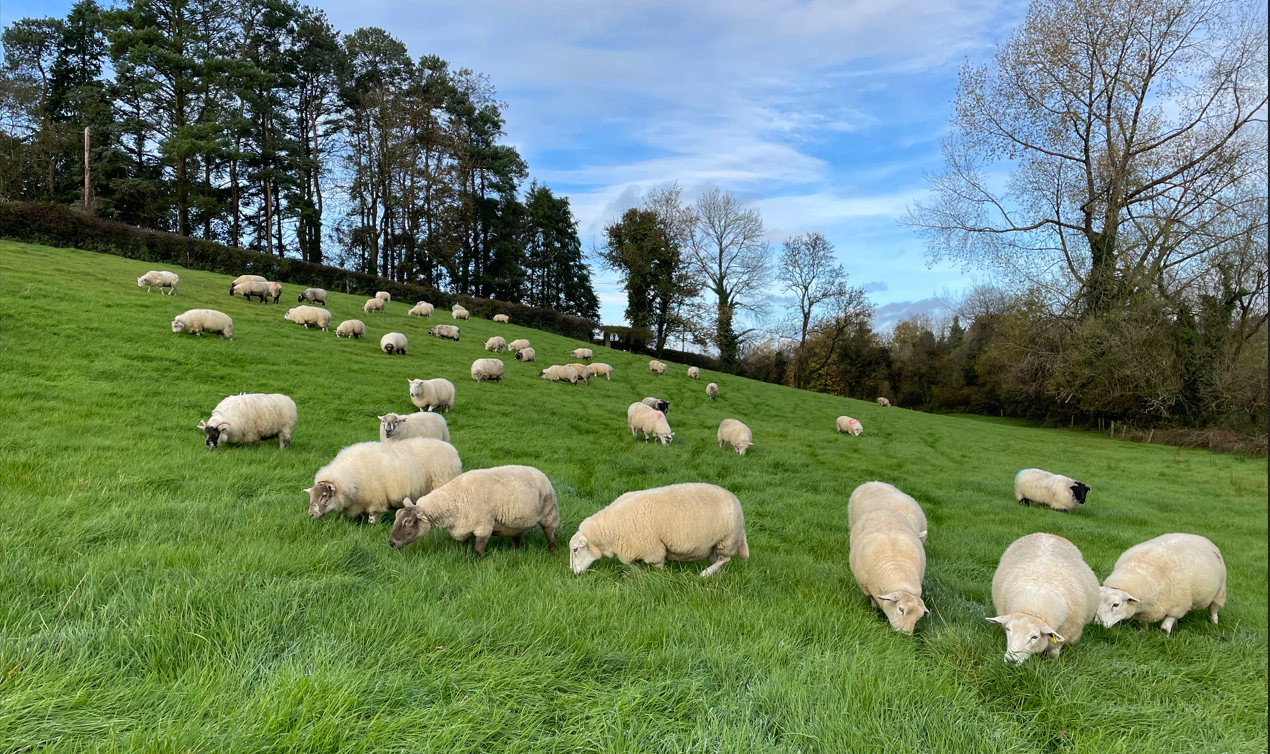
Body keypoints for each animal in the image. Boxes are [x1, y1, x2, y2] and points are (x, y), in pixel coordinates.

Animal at [306, 437, 462, 524]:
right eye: (311, 496)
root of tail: (453, 450)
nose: (310, 515)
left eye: (324, 496)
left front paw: (371, 526)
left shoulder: (376, 498)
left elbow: (373, 516)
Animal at [390, 465, 559, 556]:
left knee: (551, 536)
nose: (391, 543)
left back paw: (552, 552)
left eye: (407, 521)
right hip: (517, 523)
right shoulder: (465, 526)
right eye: (397, 518)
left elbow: (478, 551)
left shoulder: (483, 526)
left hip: (550, 514)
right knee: (517, 538)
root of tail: (540, 473)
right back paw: (516, 552)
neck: (454, 498)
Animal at [569, 483, 748, 577]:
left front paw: (658, 579)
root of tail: (734, 498)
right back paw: (714, 575)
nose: (572, 571)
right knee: (718, 561)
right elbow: (632, 566)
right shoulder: (634, 551)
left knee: (725, 559)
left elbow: (658, 568)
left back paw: (704, 574)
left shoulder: (653, 550)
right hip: (714, 545)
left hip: (727, 540)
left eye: (576, 549)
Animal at [988, 533, 1099, 664]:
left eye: (1035, 637)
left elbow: (1053, 654)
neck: (1034, 606)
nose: (1011, 661)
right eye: (1008, 629)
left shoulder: (1062, 636)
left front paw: (1051, 664)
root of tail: (1048, 534)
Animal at [1096, 533, 1226, 635]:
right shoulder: (1146, 609)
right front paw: (1143, 635)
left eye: (1116, 605)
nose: (1098, 624)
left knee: (1213, 609)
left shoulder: (1177, 607)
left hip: (1219, 592)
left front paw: (1163, 639)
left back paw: (1214, 624)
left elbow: (1164, 629)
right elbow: (1143, 625)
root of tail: (1201, 537)